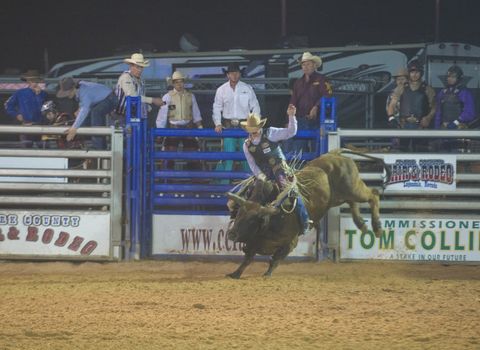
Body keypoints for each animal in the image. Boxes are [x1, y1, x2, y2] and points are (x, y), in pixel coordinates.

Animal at [225, 148, 390, 278]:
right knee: (352, 202)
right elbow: (248, 258)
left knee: (373, 195)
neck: (271, 219)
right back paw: (361, 224)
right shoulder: (253, 243)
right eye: (238, 214)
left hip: (353, 188)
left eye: (252, 219)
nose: (231, 234)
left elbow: (275, 259)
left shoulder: (290, 243)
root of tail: (334, 153)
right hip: (339, 197)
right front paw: (235, 273)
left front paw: (267, 274)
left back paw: (377, 227)